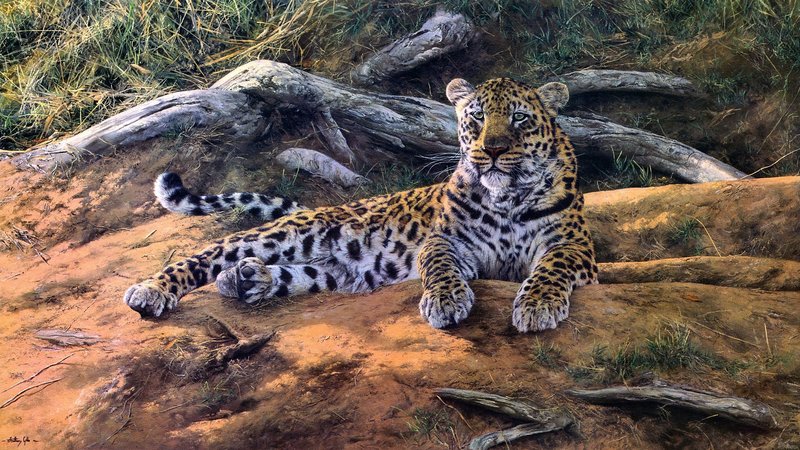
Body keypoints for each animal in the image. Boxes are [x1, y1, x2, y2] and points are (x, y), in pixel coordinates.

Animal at [124, 77, 598, 332]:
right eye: (477, 117)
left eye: (519, 118)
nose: (494, 150)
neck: (505, 198)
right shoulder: (445, 242)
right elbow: (440, 266)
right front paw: (446, 302)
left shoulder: (575, 248)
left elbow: (551, 268)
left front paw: (537, 306)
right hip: (288, 235)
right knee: (209, 253)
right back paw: (152, 290)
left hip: (331, 273)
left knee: (284, 275)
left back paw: (245, 281)